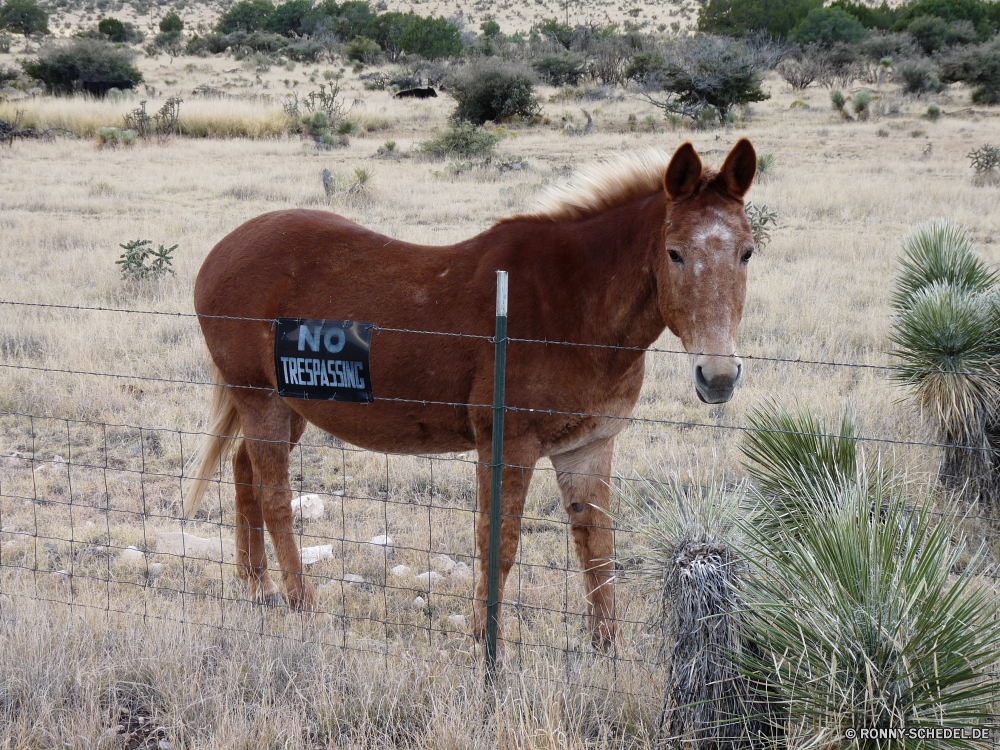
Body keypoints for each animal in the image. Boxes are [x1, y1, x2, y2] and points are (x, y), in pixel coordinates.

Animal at [182, 140, 756, 652]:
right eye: (674, 254)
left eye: (747, 253)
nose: (718, 377)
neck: (573, 304)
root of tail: (221, 251)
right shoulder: (508, 445)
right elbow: (497, 543)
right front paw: (484, 638)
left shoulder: (588, 448)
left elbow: (598, 548)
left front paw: (606, 651)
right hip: (262, 401)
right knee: (276, 498)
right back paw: (302, 602)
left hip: (293, 405)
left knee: (244, 469)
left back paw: (257, 586)